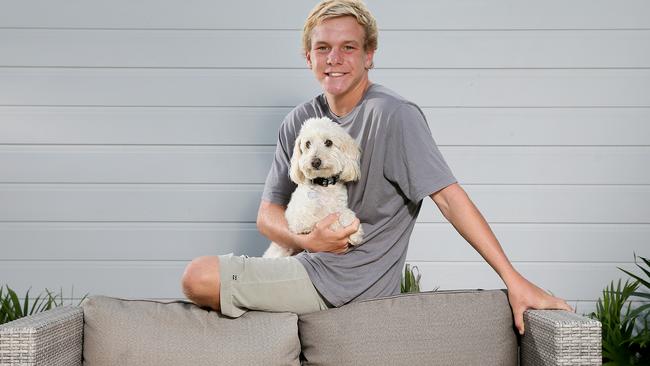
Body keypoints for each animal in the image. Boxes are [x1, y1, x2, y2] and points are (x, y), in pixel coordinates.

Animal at [264, 117, 364, 258]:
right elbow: (325, 219)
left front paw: (355, 232)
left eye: (328, 142)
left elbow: (345, 213)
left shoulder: (340, 207)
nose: (315, 161)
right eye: (307, 144)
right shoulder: (300, 221)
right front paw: (343, 229)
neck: (324, 185)